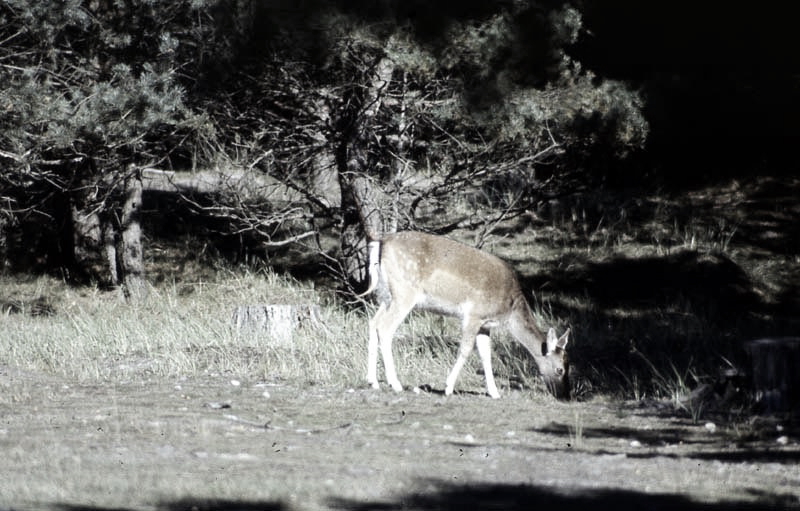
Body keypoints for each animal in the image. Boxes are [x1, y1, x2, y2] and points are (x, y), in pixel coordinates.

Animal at [360, 230, 572, 402]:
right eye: (560, 369)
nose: (565, 395)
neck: (510, 308)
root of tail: (381, 243)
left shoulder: (485, 324)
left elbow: (486, 355)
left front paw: (494, 393)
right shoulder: (474, 315)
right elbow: (465, 349)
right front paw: (448, 387)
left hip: (386, 295)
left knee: (373, 323)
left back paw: (373, 381)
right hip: (405, 292)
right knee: (385, 328)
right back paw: (395, 383)